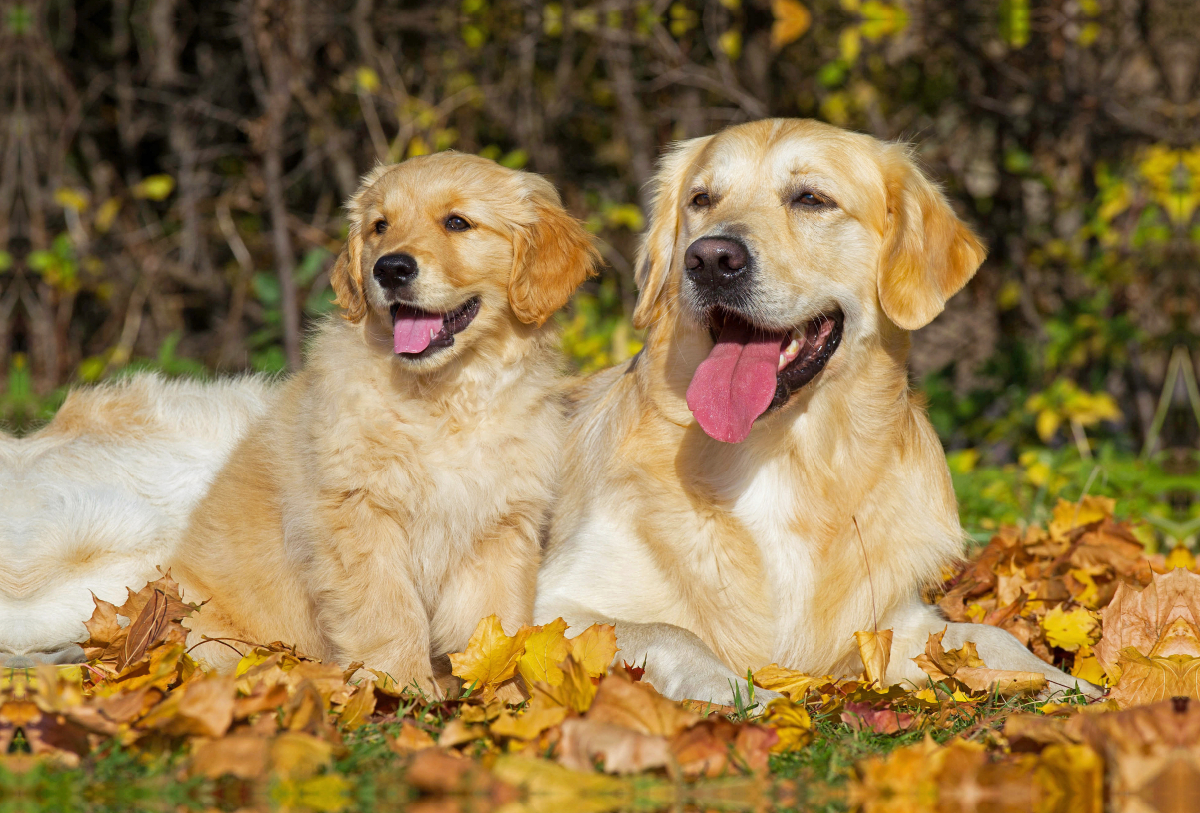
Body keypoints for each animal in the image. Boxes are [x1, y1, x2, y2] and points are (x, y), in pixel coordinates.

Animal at [172, 152, 595, 695]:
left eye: (457, 223)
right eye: (380, 226)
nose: (389, 268)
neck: (442, 398)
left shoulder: (499, 525)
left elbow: (494, 621)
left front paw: (500, 695)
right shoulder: (359, 514)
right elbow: (388, 610)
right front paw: (404, 687)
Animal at [540, 119, 1099, 705]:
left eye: (810, 199)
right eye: (701, 199)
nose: (709, 259)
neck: (781, 455)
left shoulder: (891, 623)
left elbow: (992, 637)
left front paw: (1071, 684)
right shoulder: (551, 608)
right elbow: (671, 630)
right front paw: (736, 691)